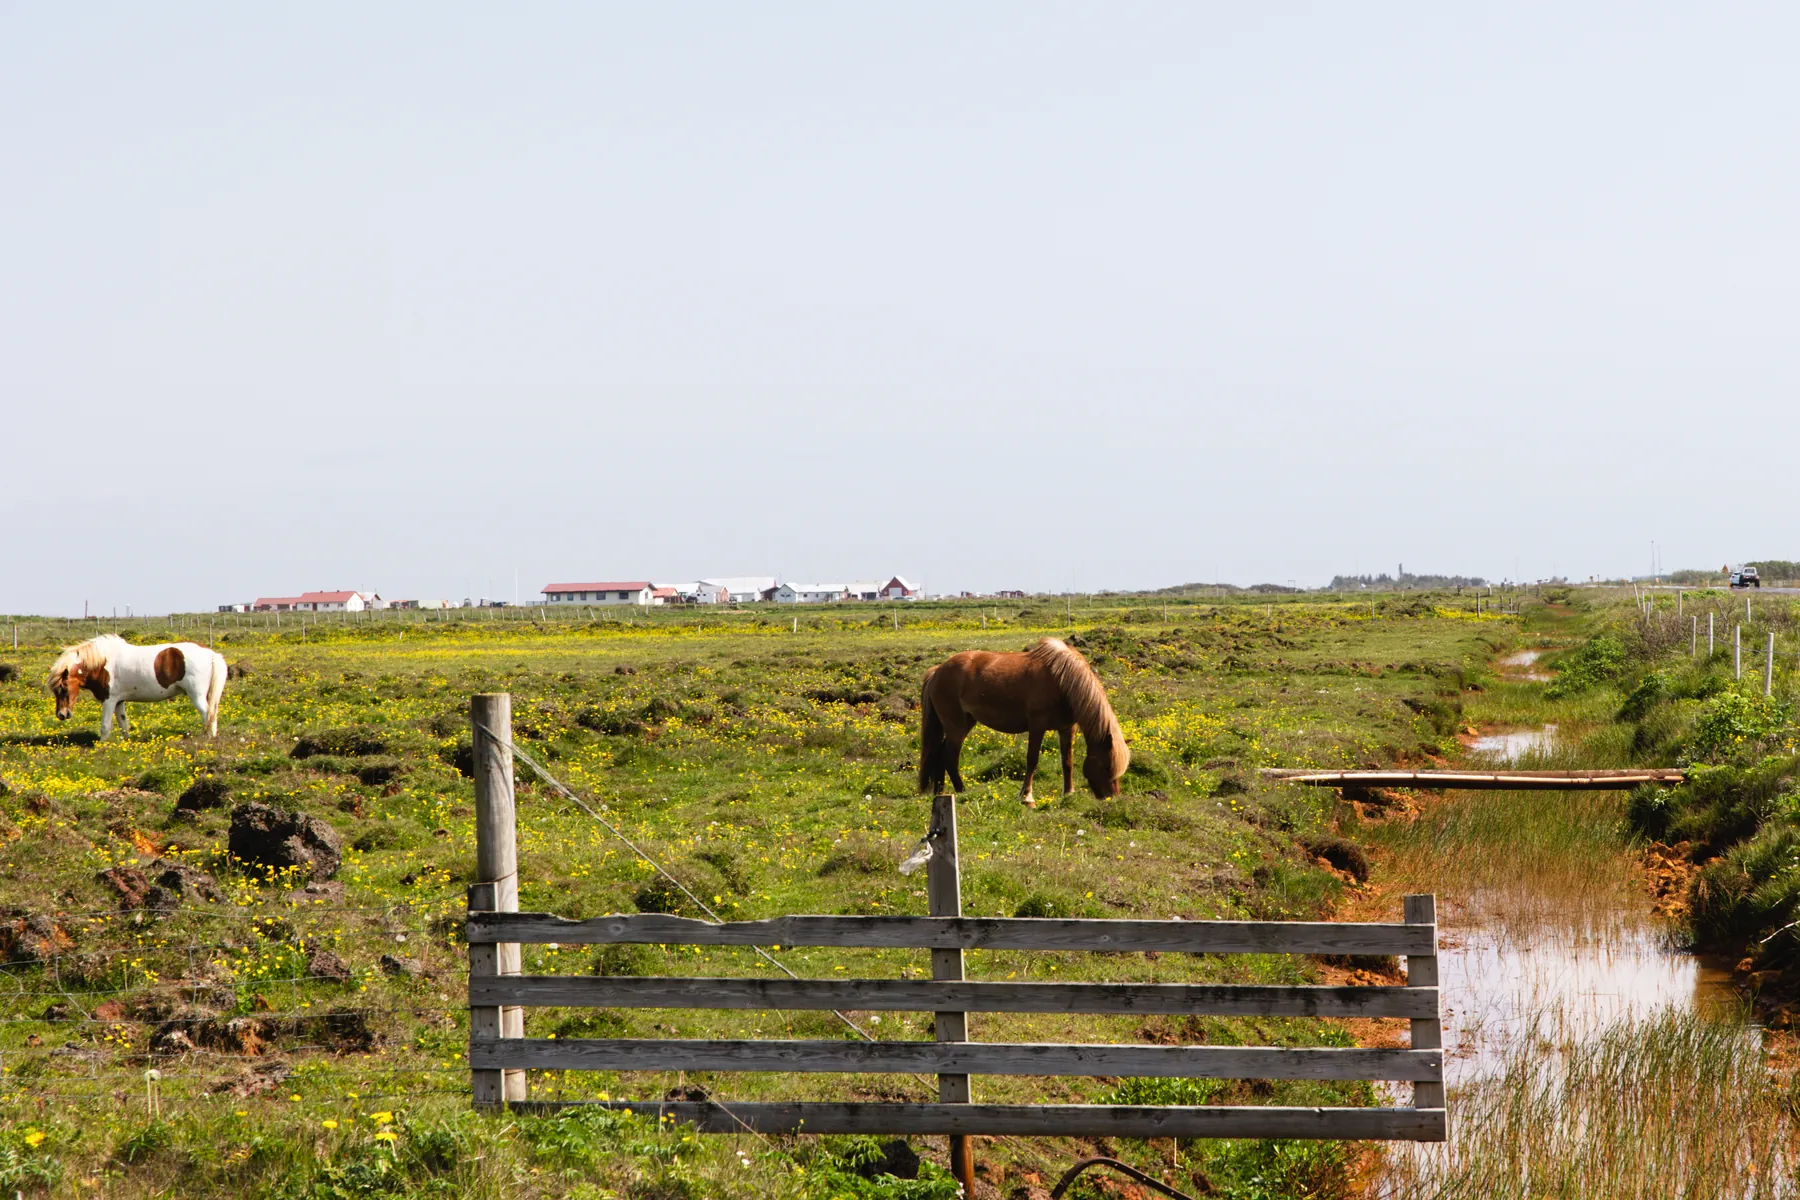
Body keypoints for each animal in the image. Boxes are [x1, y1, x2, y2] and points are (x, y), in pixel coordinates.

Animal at [46, 634, 228, 740]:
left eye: (63, 689)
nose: (61, 715)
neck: (101, 663)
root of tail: (210, 653)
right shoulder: (119, 701)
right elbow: (123, 723)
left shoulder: (109, 700)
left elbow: (105, 726)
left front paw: (102, 746)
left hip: (196, 695)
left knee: (208, 714)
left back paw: (208, 737)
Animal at [918, 637, 1130, 805]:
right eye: (1107, 765)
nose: (1112, 798)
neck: (1062, 680)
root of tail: (937, 670)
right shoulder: (1037, 726)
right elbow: (1032, 760)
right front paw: (1027, 797)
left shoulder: (1067, 728)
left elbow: (1067, 761)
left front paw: (1068, 793)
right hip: (956, 726)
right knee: (949, 756)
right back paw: (961, 790)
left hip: (966, 722)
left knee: (940, 753)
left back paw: (940, 792)